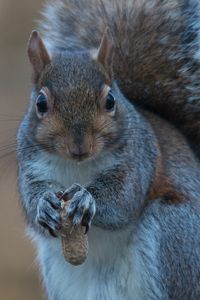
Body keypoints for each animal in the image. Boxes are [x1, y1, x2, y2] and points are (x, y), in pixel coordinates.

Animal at [16, 0, 200, 300]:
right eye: (40, 104)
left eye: (110, 100)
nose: (79, 146)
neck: (76, 166)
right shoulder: (30, 164)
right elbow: (31, 199)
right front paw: (43, 205)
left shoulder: (138, 161)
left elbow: (123, 199)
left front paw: (86, 198)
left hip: (173, 235)